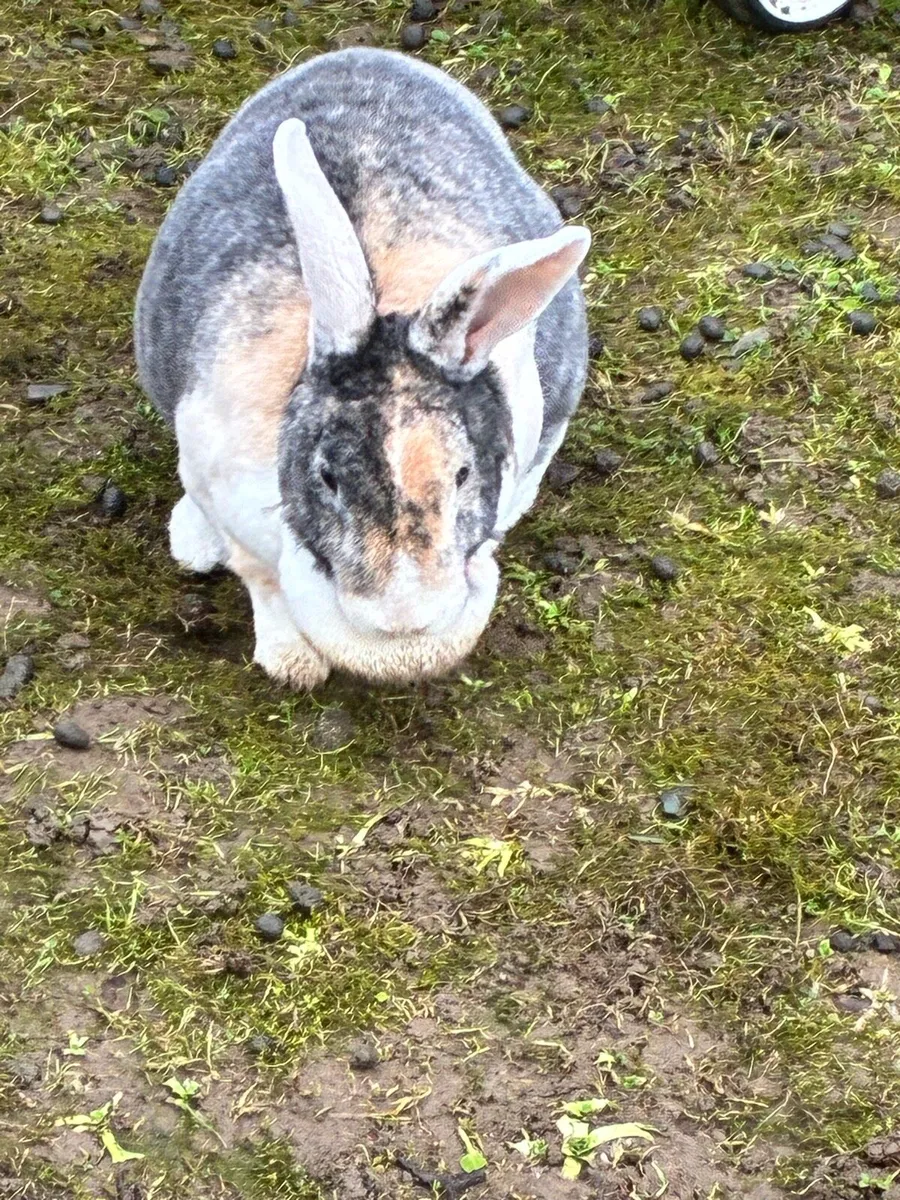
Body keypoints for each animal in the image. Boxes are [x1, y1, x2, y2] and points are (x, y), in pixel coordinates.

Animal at [135, 47, 591, 689]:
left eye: (463, 475)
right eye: (327, 477)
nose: (403, 624)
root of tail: (366, 54)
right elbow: (263, 581)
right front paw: (293, 665)